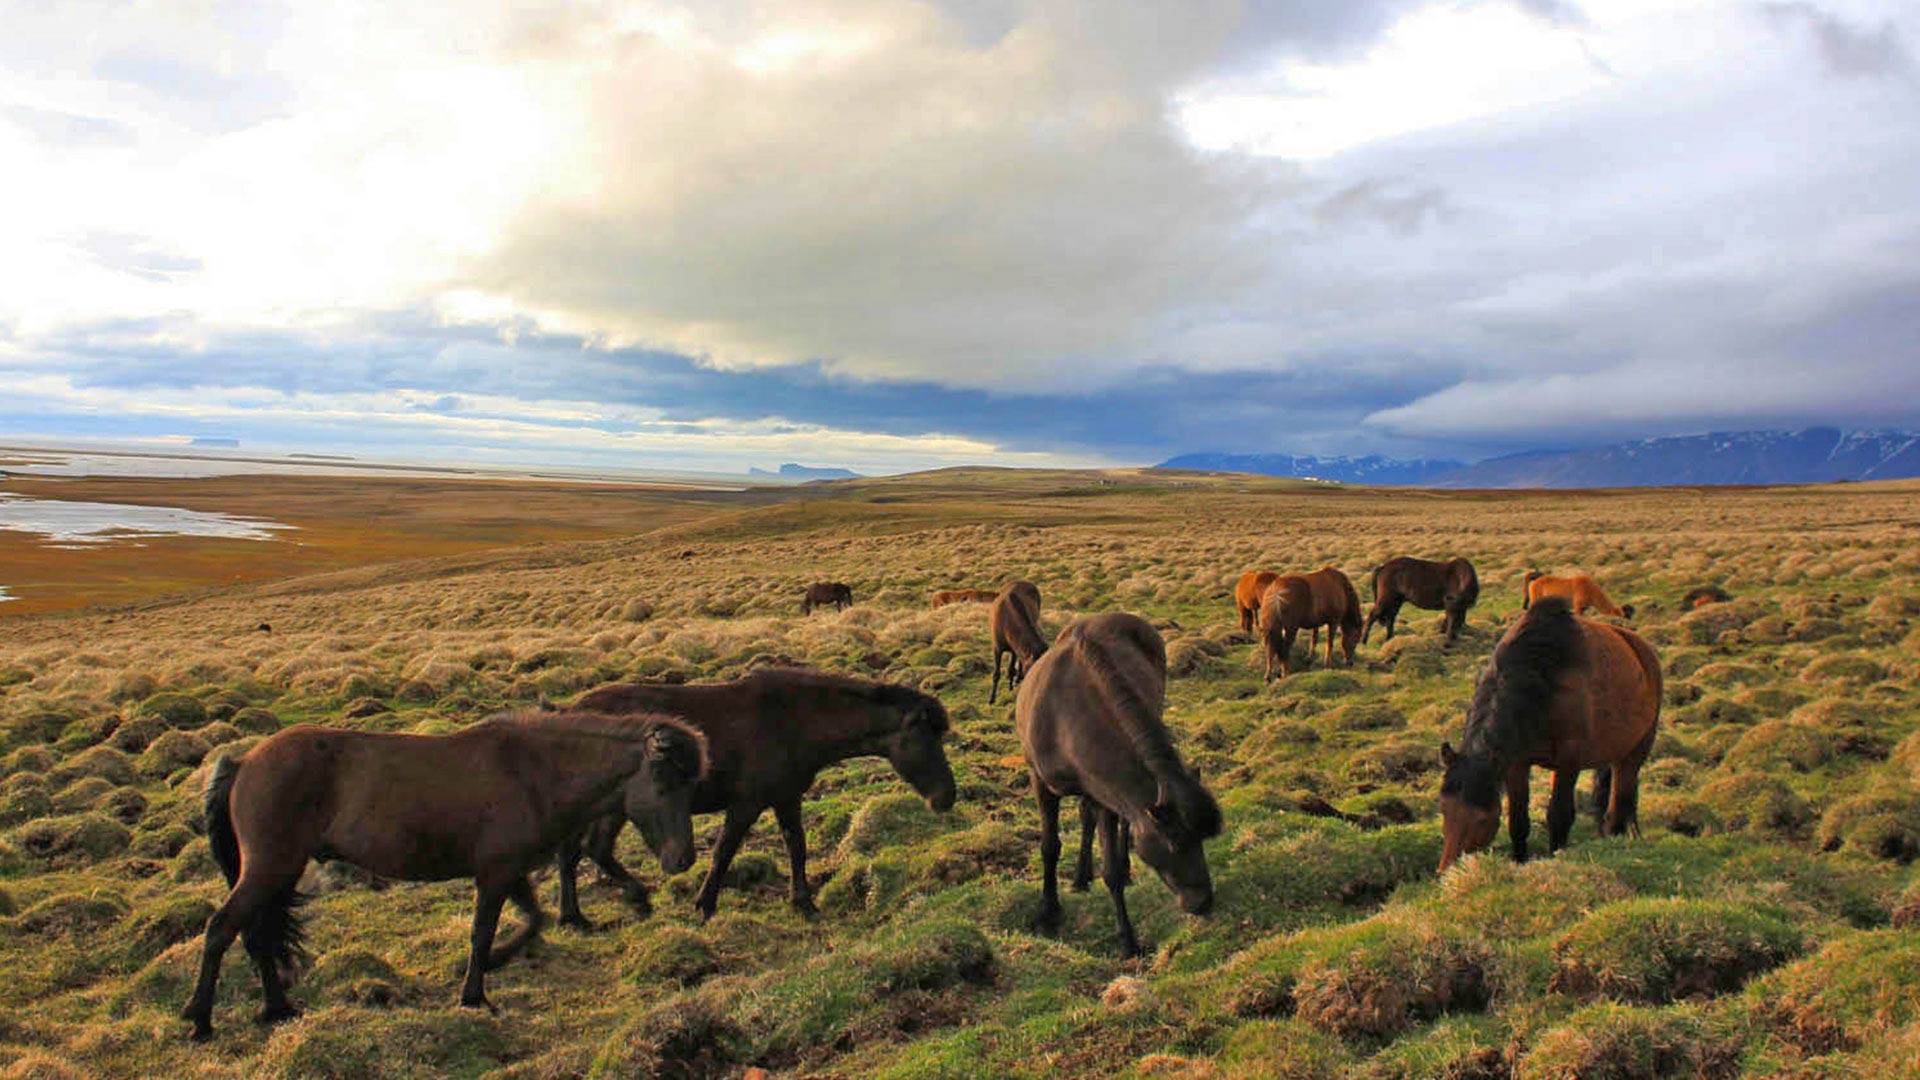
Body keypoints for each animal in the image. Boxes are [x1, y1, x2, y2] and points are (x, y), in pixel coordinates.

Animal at [178, 707, 706, 1037]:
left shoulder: (509, 871)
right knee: (221, 928)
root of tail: (245, 761)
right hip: (270, 866)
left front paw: (494, 967)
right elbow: (482, 932)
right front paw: (474, 994)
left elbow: (531, 921)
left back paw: (277, 1008)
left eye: (690, 784)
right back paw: (200, 1018)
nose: (683, 859)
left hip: (278, 872)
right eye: (664, 785)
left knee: (256, 935)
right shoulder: (495, 874)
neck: (532, 772)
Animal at [560, 668, 956, 922]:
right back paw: (626, 901)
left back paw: (579, 915)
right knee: (592, 848)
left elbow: (796, 846)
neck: (795, 721)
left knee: (580, 852)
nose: (947, 797)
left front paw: (804, 903)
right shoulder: (746, 804)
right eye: (926, 738)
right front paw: (705, 905)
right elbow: (723, 852)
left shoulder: (786, 798)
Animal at [1013, 611, 1221, 953]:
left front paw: (1128, 938)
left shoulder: (1106, 793)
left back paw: (1120, 868)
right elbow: (1049, 846)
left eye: (1202, 839)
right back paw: (1080, 876)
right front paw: (1048, 912)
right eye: (1174, 841)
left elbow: (1110, 867)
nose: (1202, 902)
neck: (1064, 720)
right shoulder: (1041, 782)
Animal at [1443, 591, 1666, 868]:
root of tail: (1644, 652)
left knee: (1619, 803)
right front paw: (1520, 862)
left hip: (1634, 754)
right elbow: (1518, 820)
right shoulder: (1517, 764)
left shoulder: (1569, 762)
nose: (1449, 870)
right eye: (1443, 809)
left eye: (1483, 819)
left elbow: (1559, 816)